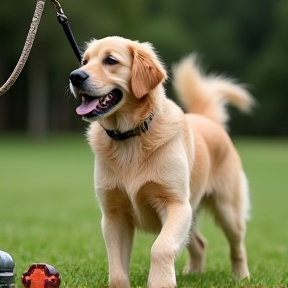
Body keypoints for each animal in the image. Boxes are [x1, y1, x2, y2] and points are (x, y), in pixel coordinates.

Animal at [68, 36, 253, 288]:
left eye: (110, 60)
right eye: (85, 61)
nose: (75, 76)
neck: (131, 137)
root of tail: (208, 119)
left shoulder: (176, 204)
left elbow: (161, 247)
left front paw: (160, 282)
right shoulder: (114, 214)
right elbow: (116, 267)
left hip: (227, 210)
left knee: (237, 246)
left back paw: (241, 276)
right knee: (200, 243)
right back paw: (193, 274)